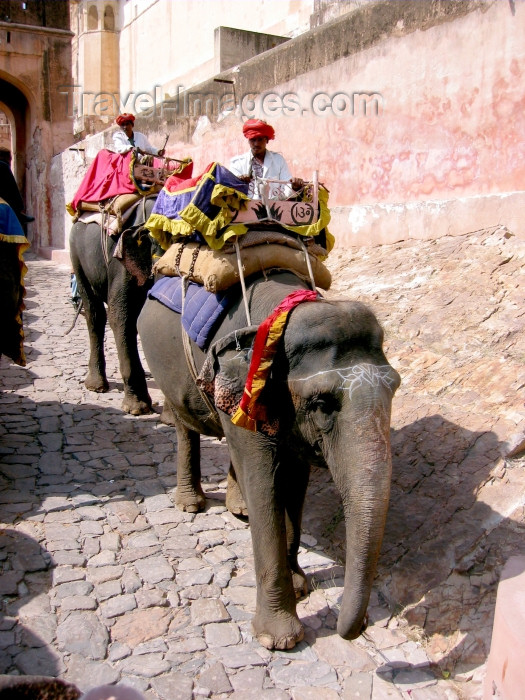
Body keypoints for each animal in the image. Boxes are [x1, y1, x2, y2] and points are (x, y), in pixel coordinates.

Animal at [68, 194, 161, 416]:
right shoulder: (121, 263)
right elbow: (121, 317)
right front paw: (137, 408)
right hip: (77, 255)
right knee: (94, 312)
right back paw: (96, 386)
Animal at [137, 270, 400, 652]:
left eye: (394, 390)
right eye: (321, 404)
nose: (359, 624)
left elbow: (295, 482)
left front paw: (301, 587)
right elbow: (265, 484)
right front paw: (278, 639)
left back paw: (238, 509)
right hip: (163, 367)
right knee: (185, 425)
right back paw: (190, 504)